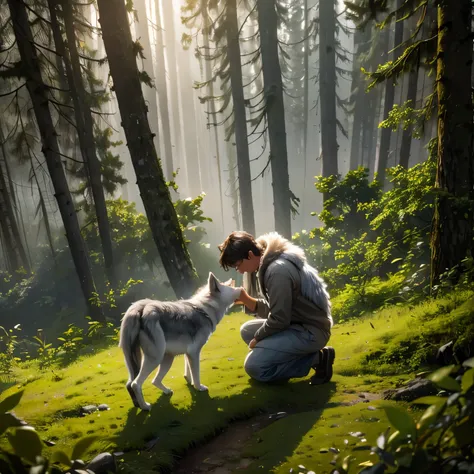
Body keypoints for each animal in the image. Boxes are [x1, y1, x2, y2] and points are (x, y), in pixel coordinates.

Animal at [117, 274, 239, 412]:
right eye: (229, 287)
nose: (240, 288)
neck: (206, 310)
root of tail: (141, 308)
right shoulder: (194, 352)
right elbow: (196, 374)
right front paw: (199, 387)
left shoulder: (188, 353)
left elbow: (188, 372)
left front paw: (190, 382)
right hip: (156, 358)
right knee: (136, 384)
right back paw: (145, 406)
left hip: (165, 359)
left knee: (146, 382)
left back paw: (158, 395)